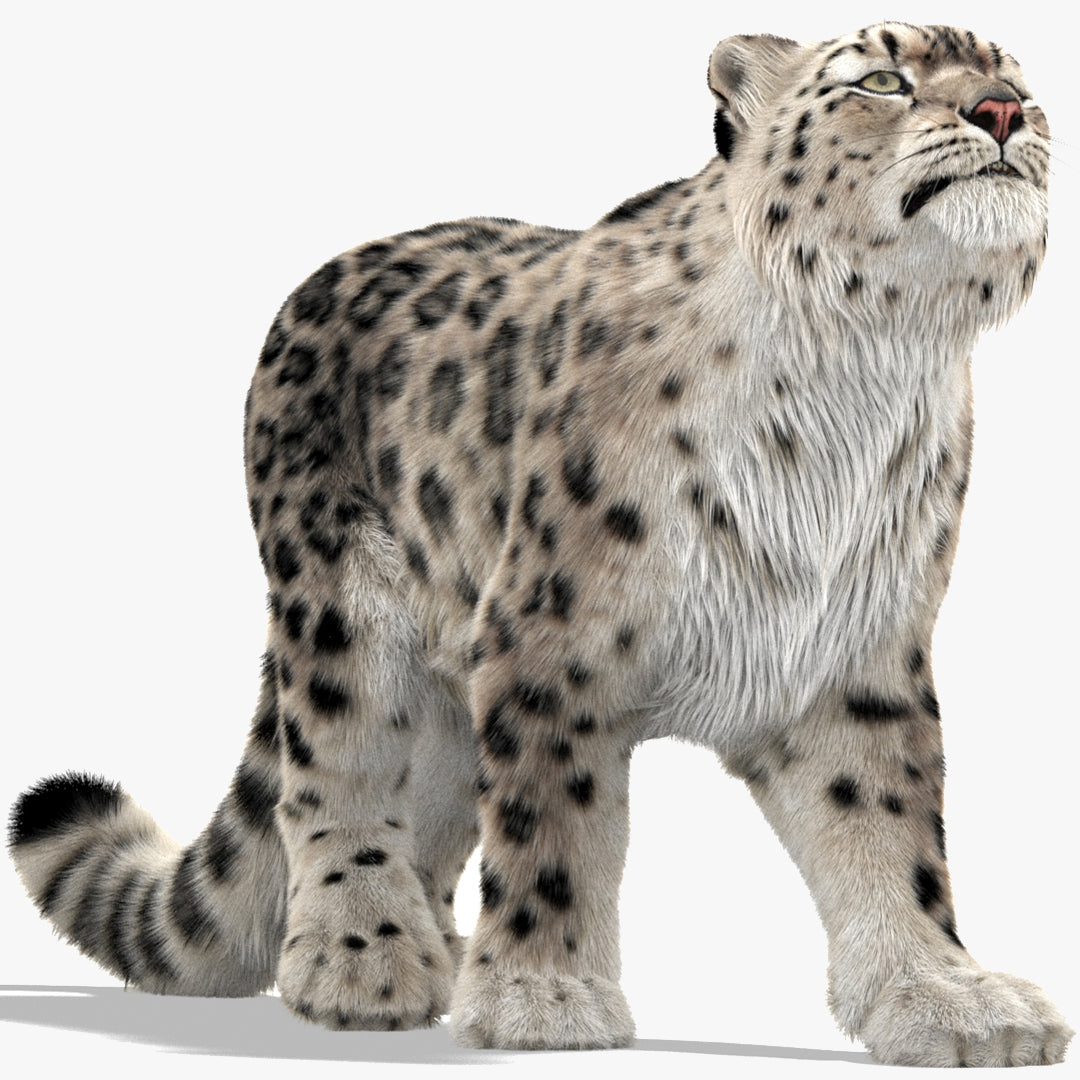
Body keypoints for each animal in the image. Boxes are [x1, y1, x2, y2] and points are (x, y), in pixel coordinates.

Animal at [8, 21, 1073, 1066]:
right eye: (883, 78)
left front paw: (948, 998)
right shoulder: (552, 642)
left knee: (431, 806)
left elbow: (889, 825)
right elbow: (553, 826)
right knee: (332, 776)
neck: (856, 376)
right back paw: (361, 959)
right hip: (343, 611)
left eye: (1018, 78)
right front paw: (543, 996)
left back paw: (436, 949)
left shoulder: (854, 651)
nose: (1002, 111)